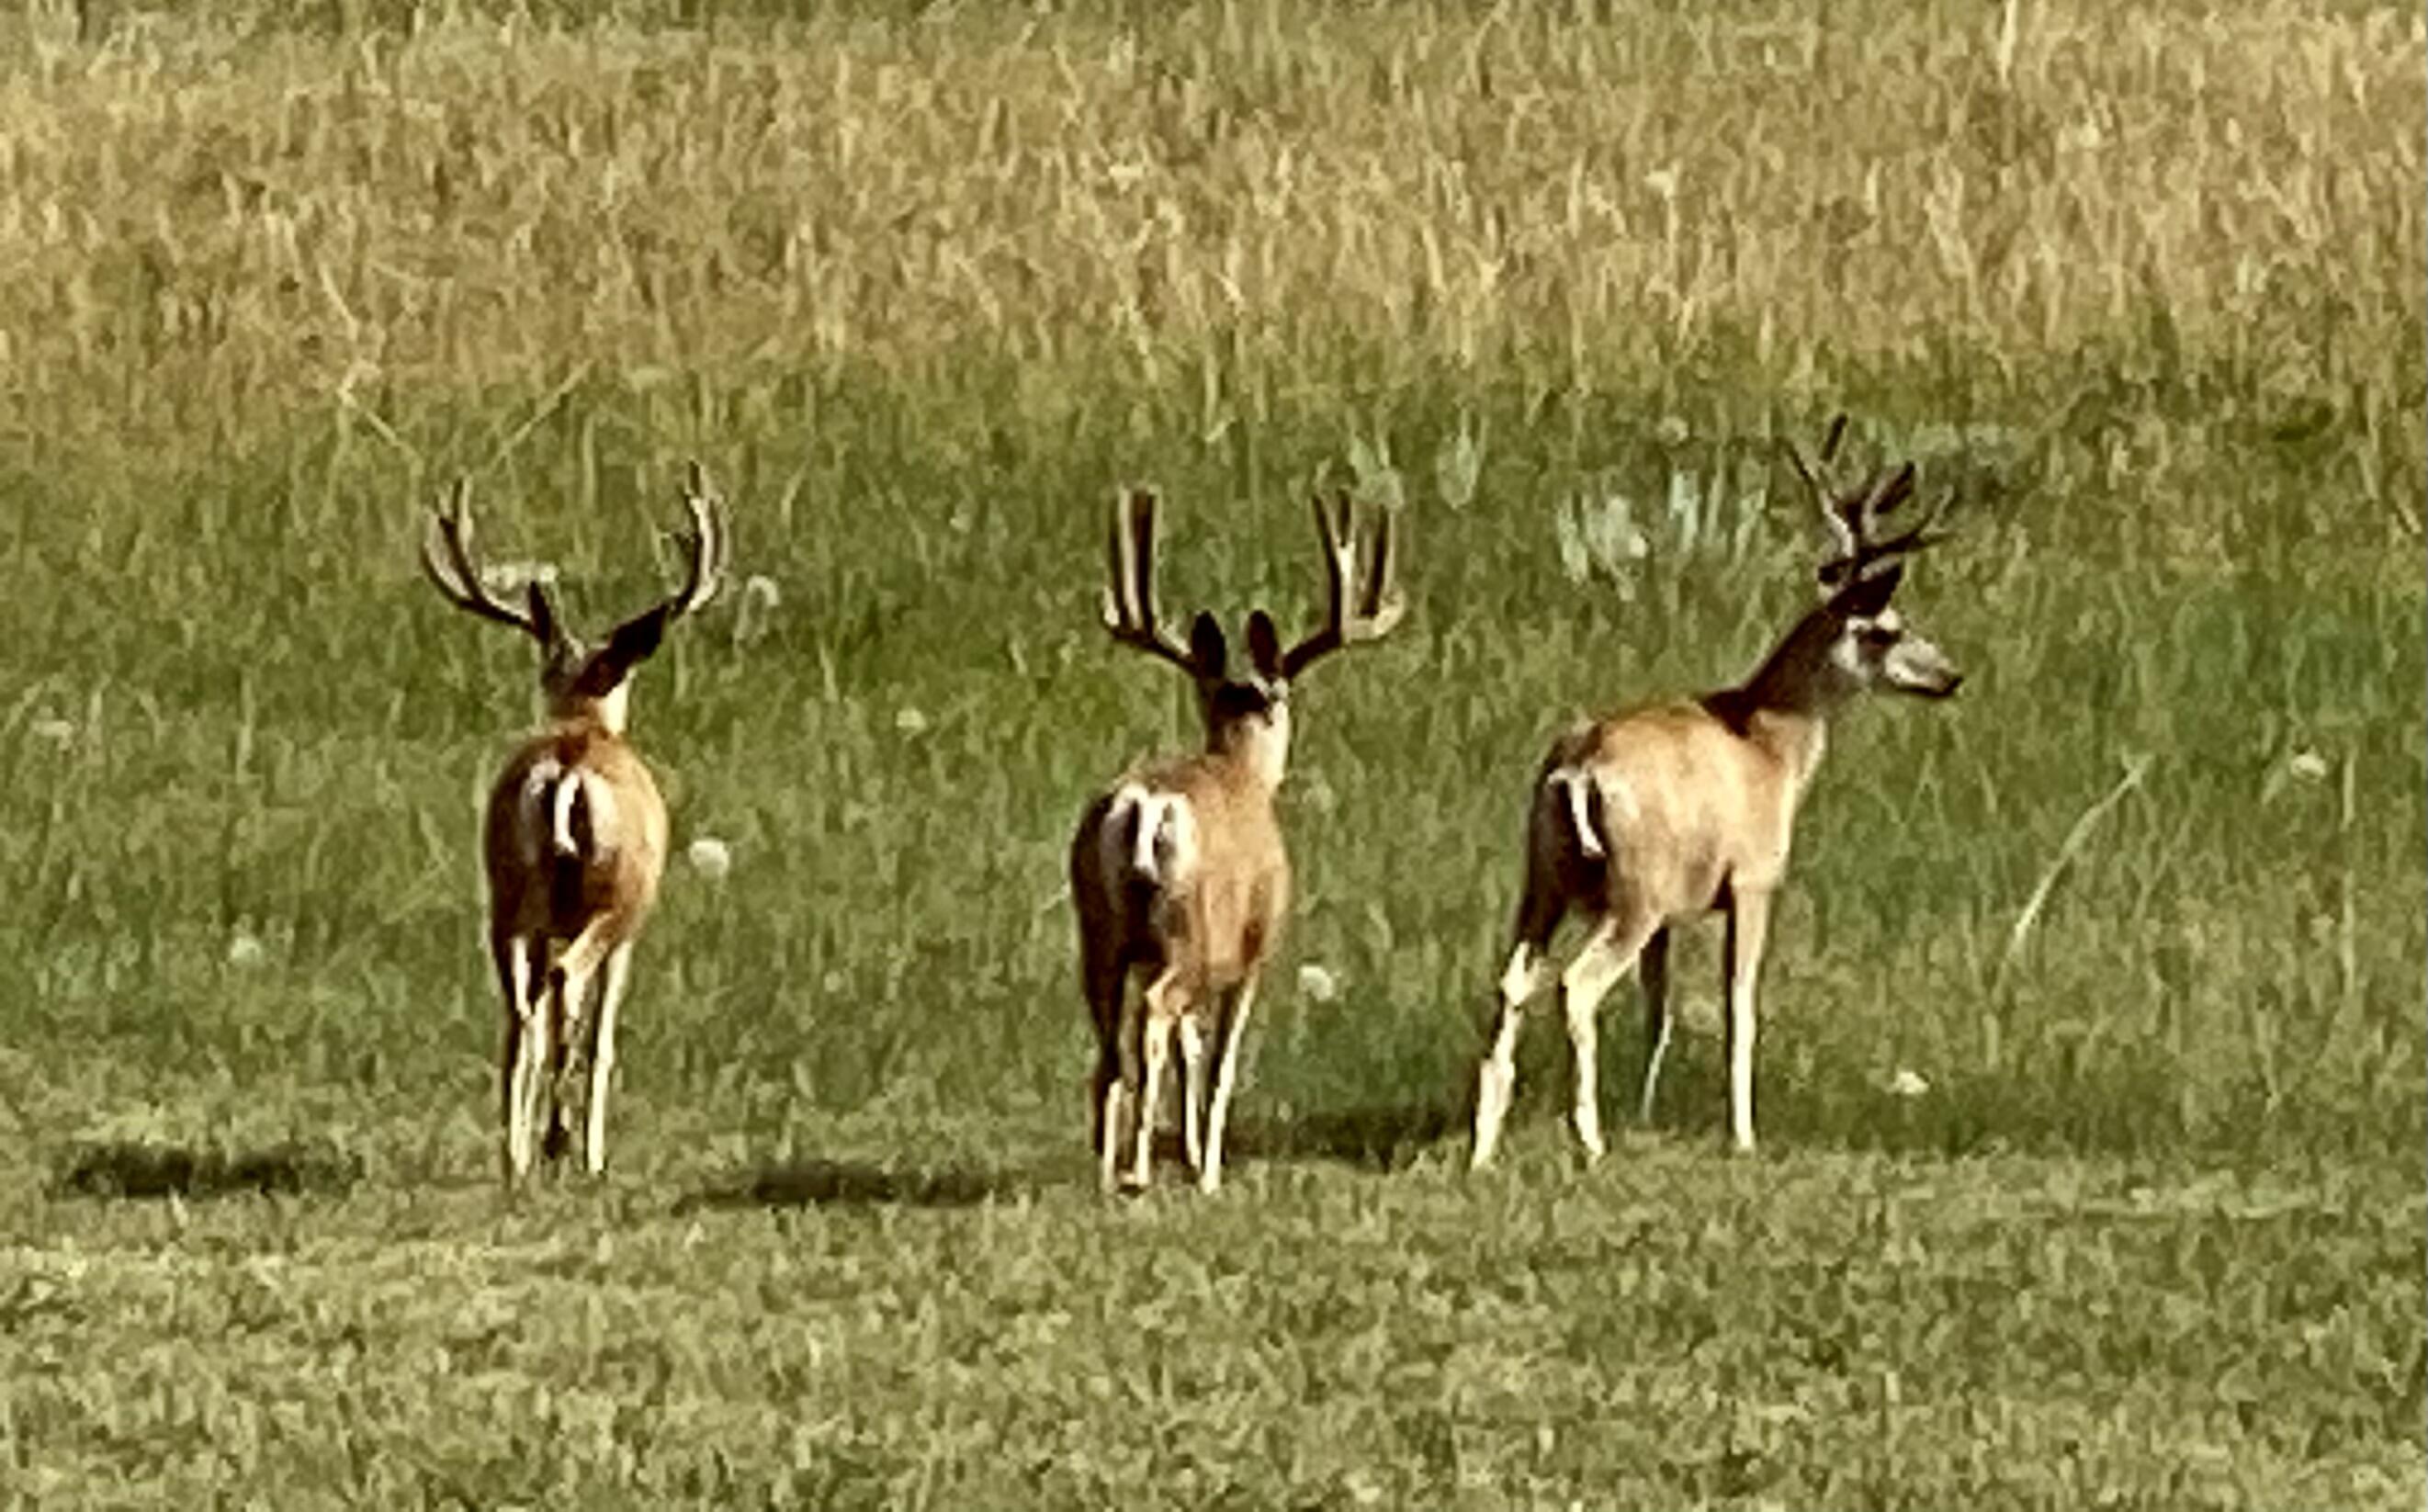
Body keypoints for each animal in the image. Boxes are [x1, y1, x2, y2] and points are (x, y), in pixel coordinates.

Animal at [421, 465, 728, 1186]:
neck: (584, 723)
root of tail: (567, 769)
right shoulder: (631, 929)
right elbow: (603, 1034)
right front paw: (591, 1154)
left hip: (509, 895)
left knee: (520, 1014)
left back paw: (515, 1156)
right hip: (612, 897)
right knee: (566, 989)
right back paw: (562, 1145)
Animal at [1069, 487, 1404, 1195]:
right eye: (1283, 699)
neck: (1244, 774)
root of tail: (1143, 807)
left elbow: (1190, 1052)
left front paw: (1195, 1154)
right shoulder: (1254, 948)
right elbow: (1219, 1059)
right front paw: (1208, 1169)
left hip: (1099, 933)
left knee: (1111, 1048)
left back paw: (1106, 1171)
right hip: (1187, 931)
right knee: (1153, 1019)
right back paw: (1138, 1173)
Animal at [1469, 417, 1962, 1168]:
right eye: (1886, 628)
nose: (1950, 675)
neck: (1769, 747)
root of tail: (1577, 768)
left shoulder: (1675, 915)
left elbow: (1659, 1009)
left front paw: (1647, 1116)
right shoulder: (1753, 881)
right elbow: (1740, 1007)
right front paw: (1743, 1136)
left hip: (1544, 881)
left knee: (1511, 983)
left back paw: (1483, 1148)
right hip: (1633, 892)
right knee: (1577, 986)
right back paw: (1588, 1140)